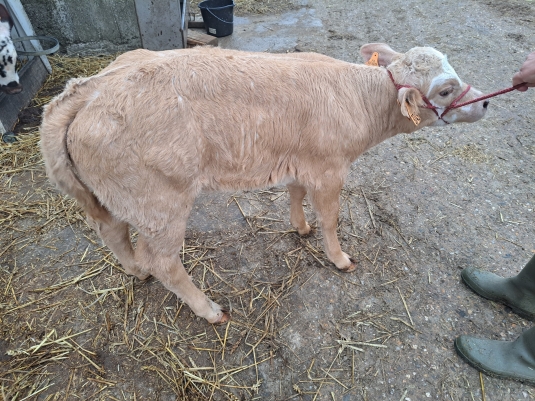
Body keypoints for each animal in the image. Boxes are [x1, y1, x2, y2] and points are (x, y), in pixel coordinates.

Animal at [40, 43, 489, 324]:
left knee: (113, 232)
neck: (359, 101)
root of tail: (89, 88)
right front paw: (339, 258)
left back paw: (135, 271)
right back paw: (208, 309)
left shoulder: (302, 161)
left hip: (113, 196)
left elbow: (295, 194)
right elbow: (330, 220)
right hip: (159, 203)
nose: (484, 101)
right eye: (445, 90)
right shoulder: (330, 169)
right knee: (162, 260)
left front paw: (300, 227)